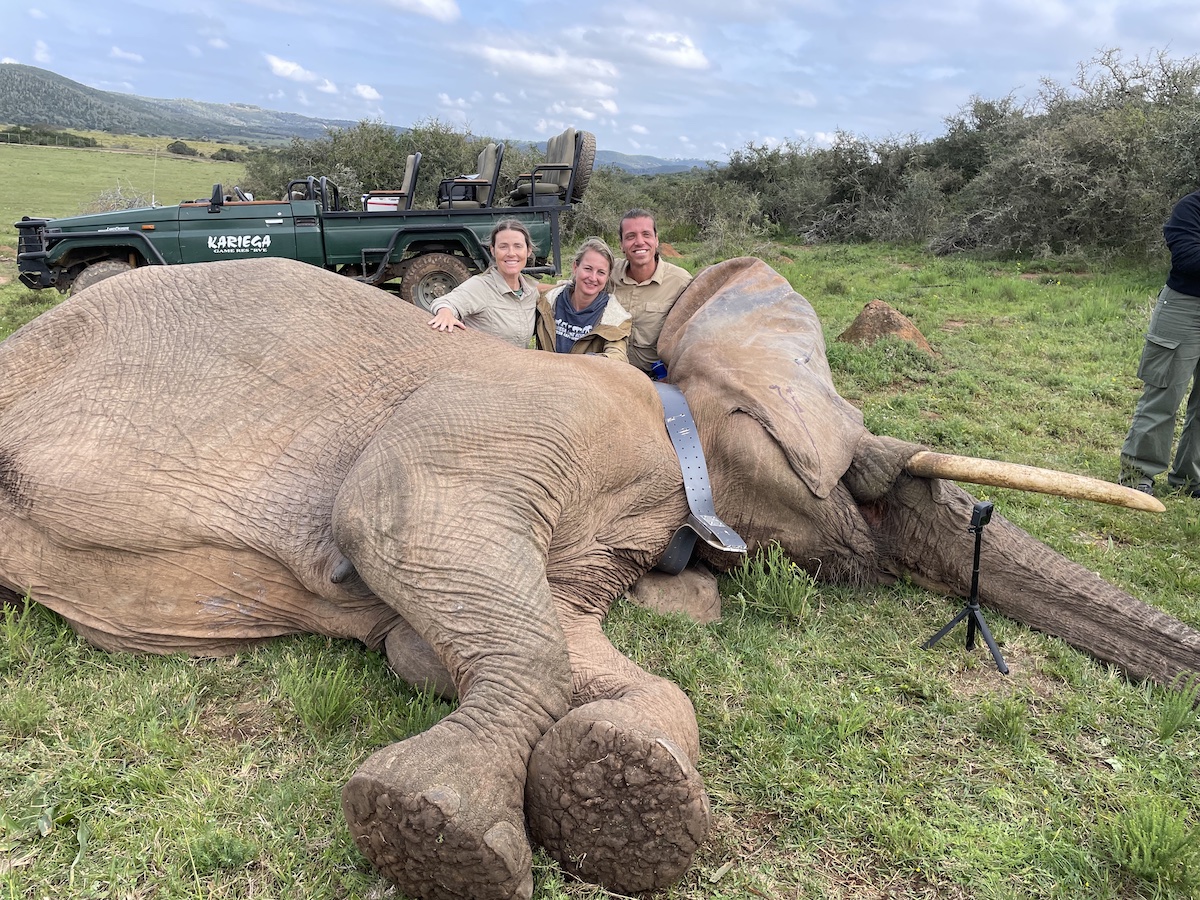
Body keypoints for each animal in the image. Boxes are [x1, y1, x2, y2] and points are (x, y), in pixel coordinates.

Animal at [1, 255, 1198, 900]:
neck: (661, 387)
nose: (890, 488)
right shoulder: (541, 411)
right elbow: (397, 514)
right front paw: (430, 834)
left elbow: (470, 638)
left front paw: (625, 799)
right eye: (863, 474)